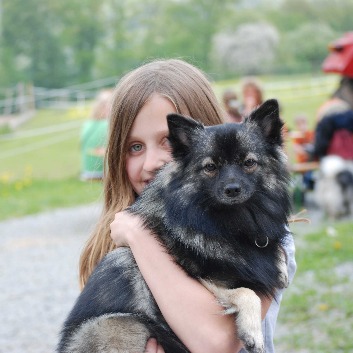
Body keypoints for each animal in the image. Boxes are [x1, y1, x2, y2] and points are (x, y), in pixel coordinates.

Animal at [56, 98, 290, 352]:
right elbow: (247, 293)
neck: (229, 223)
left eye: (249, 163)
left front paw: (282, 265)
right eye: (210, 167)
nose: (232, 189)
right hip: (122, 324)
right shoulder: (206, 281)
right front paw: (252, 333)